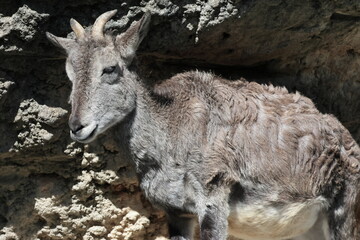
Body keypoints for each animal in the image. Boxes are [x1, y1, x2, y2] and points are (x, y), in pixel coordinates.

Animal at [46, 9, 360, 240]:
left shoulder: (212, 197)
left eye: (110, 68)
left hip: (345, 212)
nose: (78, 127)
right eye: (70, 75)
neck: (170, 127)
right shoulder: (177, 213)